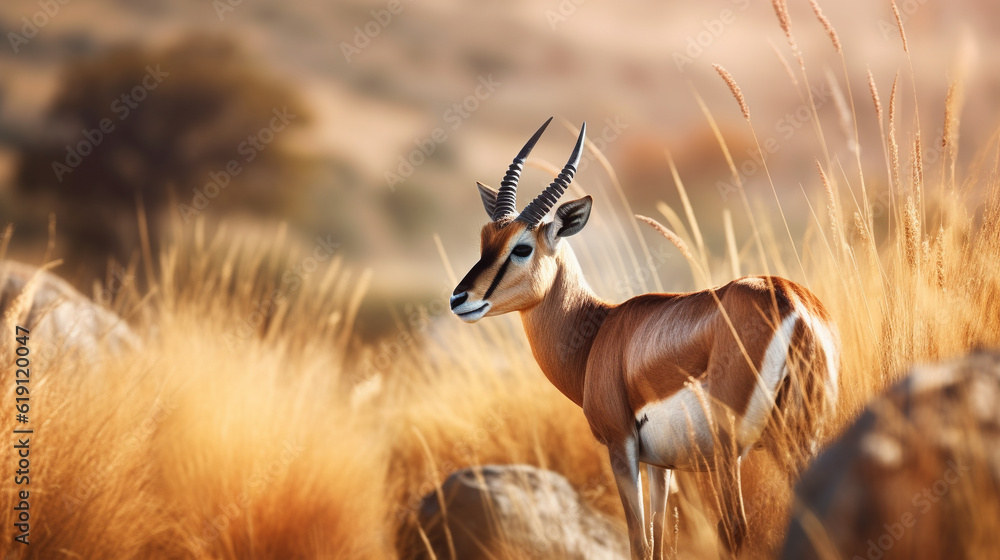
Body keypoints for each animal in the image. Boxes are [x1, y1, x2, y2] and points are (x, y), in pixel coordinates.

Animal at [449, 118, 841, 559]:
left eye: (521, 247)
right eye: (486, 239)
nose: (460, 298)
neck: (597, 333)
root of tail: (790, 301)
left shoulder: (622, 449)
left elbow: (639, 541)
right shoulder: (661, 465)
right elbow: (659, 542)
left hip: (730, 452)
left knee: (735, 528)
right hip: (804, 438)